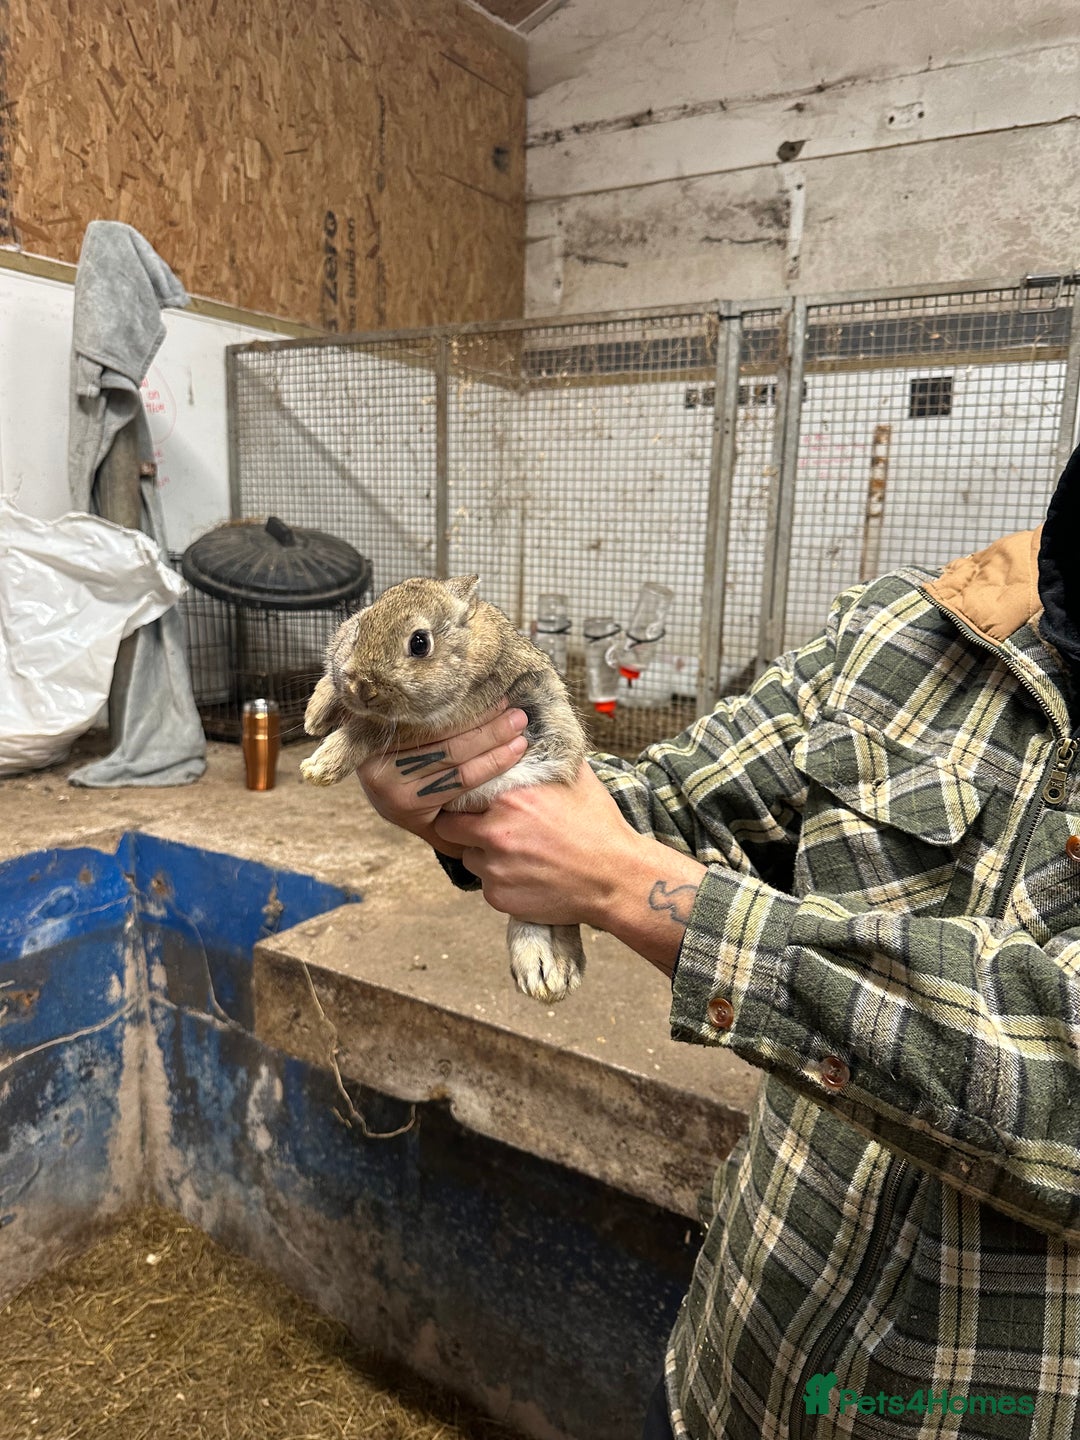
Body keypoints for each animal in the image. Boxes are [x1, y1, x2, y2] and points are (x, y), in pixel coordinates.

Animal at [300, 574, 587, 1003]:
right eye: (360, 627)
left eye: (420, 643)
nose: (362, 686)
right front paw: (315, 716)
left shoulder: (430, 722)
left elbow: (368, 729)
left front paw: (321, 765)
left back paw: (555, 971)